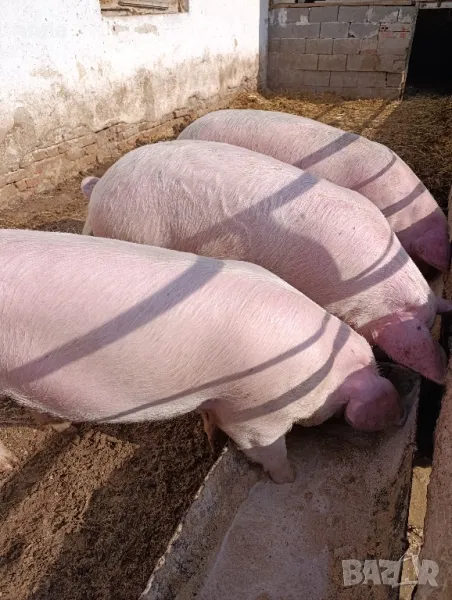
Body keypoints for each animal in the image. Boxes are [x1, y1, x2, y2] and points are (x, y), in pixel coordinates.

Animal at [0, 227, 400, 480]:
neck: (319, 371)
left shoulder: (220, 399)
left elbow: (210, 416)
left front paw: (210, 439)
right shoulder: (255, 412)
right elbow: (264, 446)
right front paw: (289, 478)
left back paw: (61, 427)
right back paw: (11, 463)